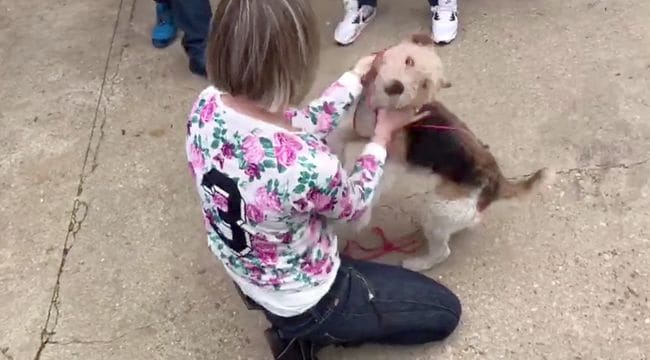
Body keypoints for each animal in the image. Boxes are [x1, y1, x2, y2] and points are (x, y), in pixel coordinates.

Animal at [336, 35, 548, 272]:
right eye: (409, 61)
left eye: (424, 84)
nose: (396, 87)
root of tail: (498, 183)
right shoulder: (345, 132)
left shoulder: (392, 162)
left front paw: (358, 218)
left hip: (439, 209)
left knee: (442, 251)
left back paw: (417, 263)